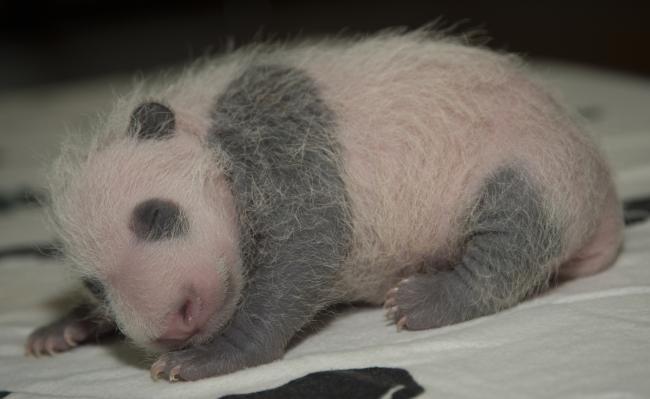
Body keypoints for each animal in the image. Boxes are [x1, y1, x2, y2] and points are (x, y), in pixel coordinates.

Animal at [26, 31, 624, 382]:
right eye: (95, 286)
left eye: (155, 216)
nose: (174, 324)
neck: (201, 120)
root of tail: (607, 209)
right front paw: (63, 328)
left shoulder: (283, 136)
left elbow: (306, 250)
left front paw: (214, 355)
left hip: (539, 165)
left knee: (515, 237)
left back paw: (431, 298)